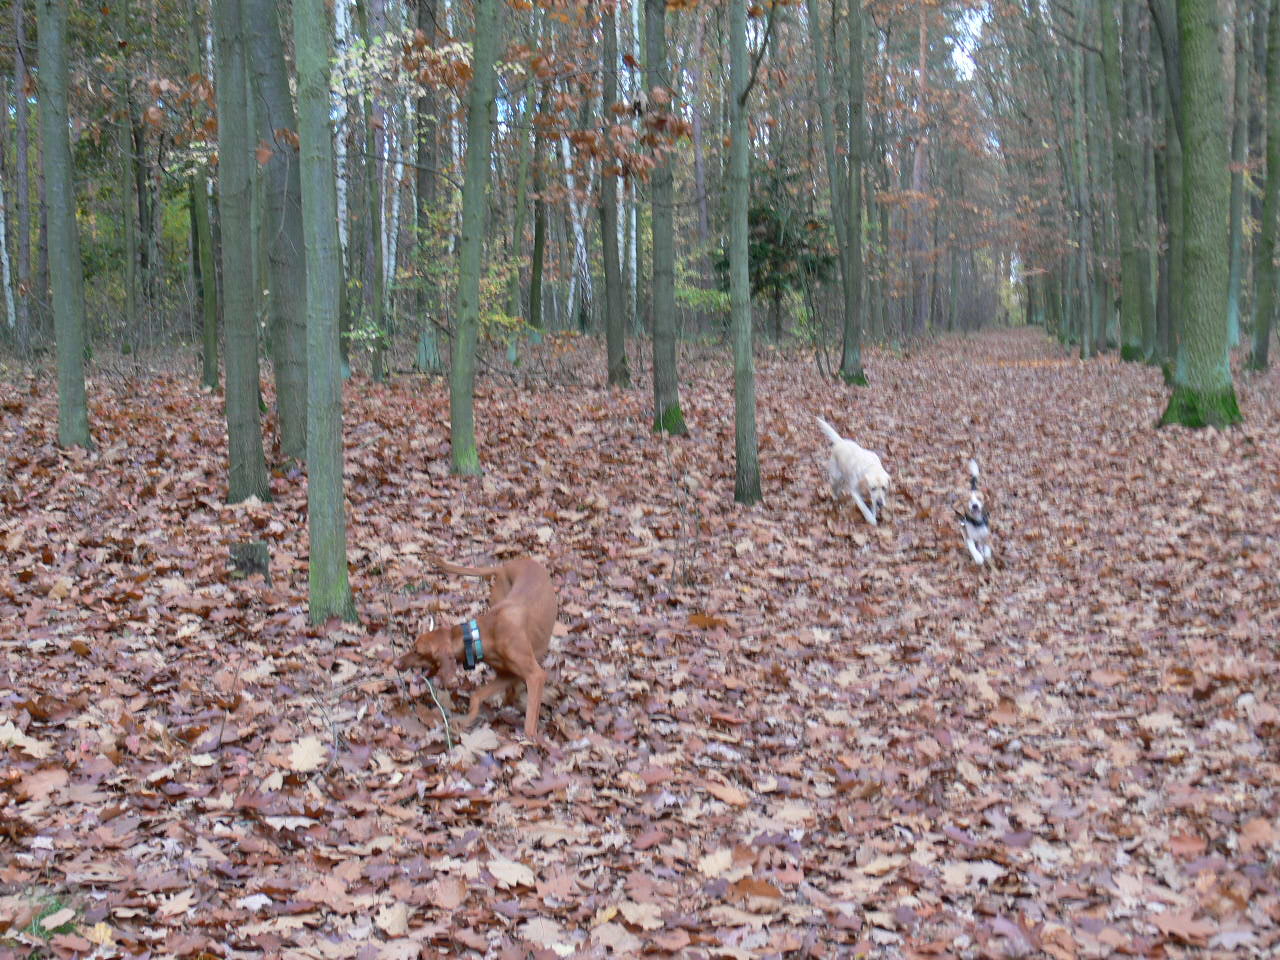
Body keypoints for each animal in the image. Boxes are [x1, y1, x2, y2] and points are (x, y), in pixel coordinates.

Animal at [394, 560, 555, 742]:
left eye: (418, 651)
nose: (395, 663)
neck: (479, 635)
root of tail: (506, 565)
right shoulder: (507, 674)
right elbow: (476, 696)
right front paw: (465, 721)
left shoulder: (535, 676)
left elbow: (529, 724)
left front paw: (531, 739)